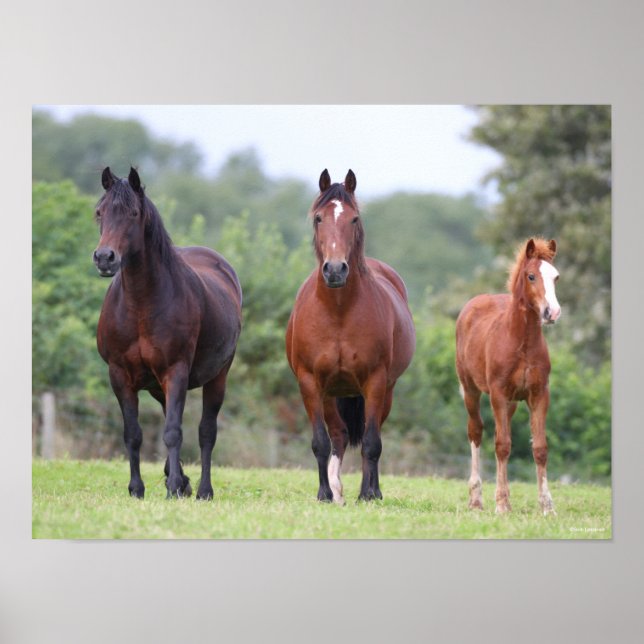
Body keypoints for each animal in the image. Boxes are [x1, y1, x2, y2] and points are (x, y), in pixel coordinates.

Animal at [93, 167, 242, 499]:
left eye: (133, 213)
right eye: (99, 212)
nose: (105, 258)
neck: (141, 305)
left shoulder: (176, 371)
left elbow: (174, 432)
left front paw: (174, 486)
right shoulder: (119, 375)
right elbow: (133, 434)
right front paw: (137, 488)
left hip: (217, 377)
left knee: (206, 432)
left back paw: (202, 489)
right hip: (158, 386)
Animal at [286, 169, 416, 504]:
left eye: (354, 218)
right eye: (319, 218)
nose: (334, 270)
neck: (338, 312)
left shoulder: (376, 382)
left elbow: (371, 442)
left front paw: (368, 494)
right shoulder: (310, 383)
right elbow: (320, 442)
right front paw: (324, 493)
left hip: (384, 391)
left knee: (373, 433)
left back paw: (370, 490)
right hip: (332, 393)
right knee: (339, 436)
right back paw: (336, 489)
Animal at [455, 238, 561, 515]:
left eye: (556, 277)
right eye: (531, 276)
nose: (552, 313)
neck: (521, 342)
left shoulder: (539, 394)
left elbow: (539, 448)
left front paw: (547, 506)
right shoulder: (499, 394)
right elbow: (502, 446)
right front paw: (502, 504)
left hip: (512, 403)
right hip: (471, 390)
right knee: (476, 432)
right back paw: (476, 499)